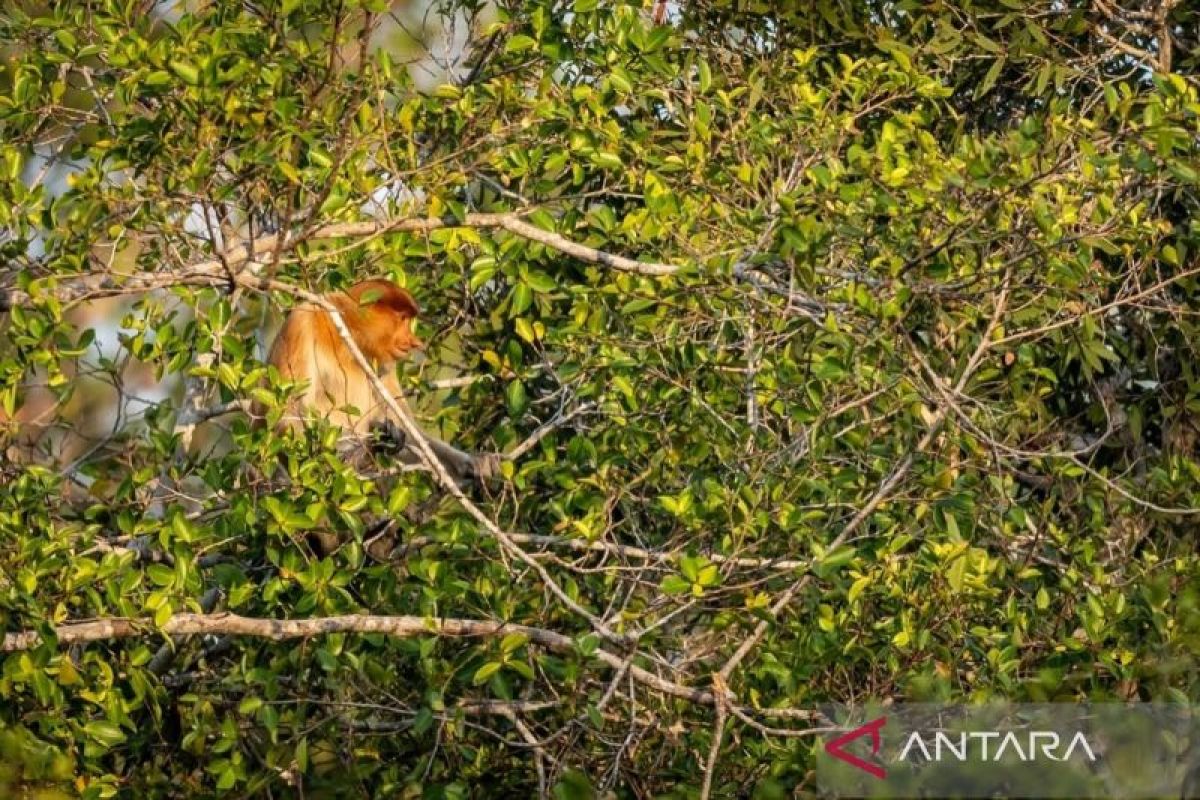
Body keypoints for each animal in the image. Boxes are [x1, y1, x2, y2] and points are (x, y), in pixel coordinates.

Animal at [262, 279, 499, 482]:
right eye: (402, 318)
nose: (414, 342)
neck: (349, 334)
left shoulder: (385, 363)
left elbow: (410, 433)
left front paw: (475, 463)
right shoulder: (302, 321)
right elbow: (286, 415)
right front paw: (367, 449)